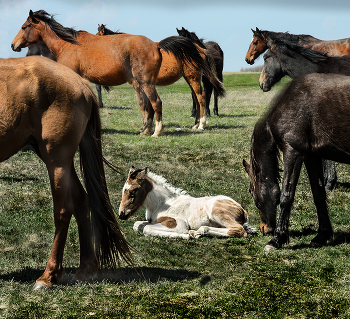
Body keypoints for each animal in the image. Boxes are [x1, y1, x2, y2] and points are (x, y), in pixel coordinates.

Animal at [0, 56, 132, 292]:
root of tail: (80, 83)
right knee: (82, 200)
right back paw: (86, 269)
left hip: (57, 159)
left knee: (63, 210)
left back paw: (48, 276)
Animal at [11, 9, 221, 138]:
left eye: (24, 27)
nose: (13, 45)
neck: (68, 44)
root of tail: (156, 45)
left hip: (158, 82)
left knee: (163, 102)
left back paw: (162, 130)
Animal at [119, 166, 256, 239]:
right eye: (123, 190)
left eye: (133, 191)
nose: (121, 214)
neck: (161, 204)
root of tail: (243, 210)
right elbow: (137, 225)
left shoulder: (178, 223)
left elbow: (146, 228)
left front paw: (186, 235)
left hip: (216, 212)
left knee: (238, 230)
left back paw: (196, 232)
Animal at [243, 73, 350, 252]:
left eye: (252, 192)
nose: (264, 228)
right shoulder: (312, 157)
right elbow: (319, 195)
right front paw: (322, 235)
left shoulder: (293, 152)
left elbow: (286, 196)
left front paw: (277, 239)